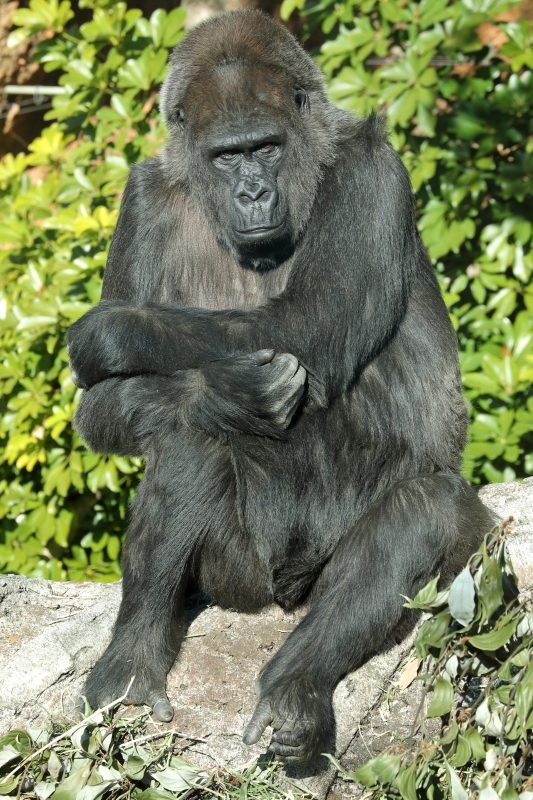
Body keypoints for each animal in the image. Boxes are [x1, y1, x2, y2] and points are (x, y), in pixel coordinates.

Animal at [68, 9, 492, 764]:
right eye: (225, 157)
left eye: (264, 148)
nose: (253, 192)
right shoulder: (144, 199)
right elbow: (105, 407)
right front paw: (226, 391)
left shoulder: (368, 167)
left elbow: (309, 322)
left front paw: (112, 333)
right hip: (236, 578)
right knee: (189, 438)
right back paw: (132, 661)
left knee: (426, 509)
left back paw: (296, 686)